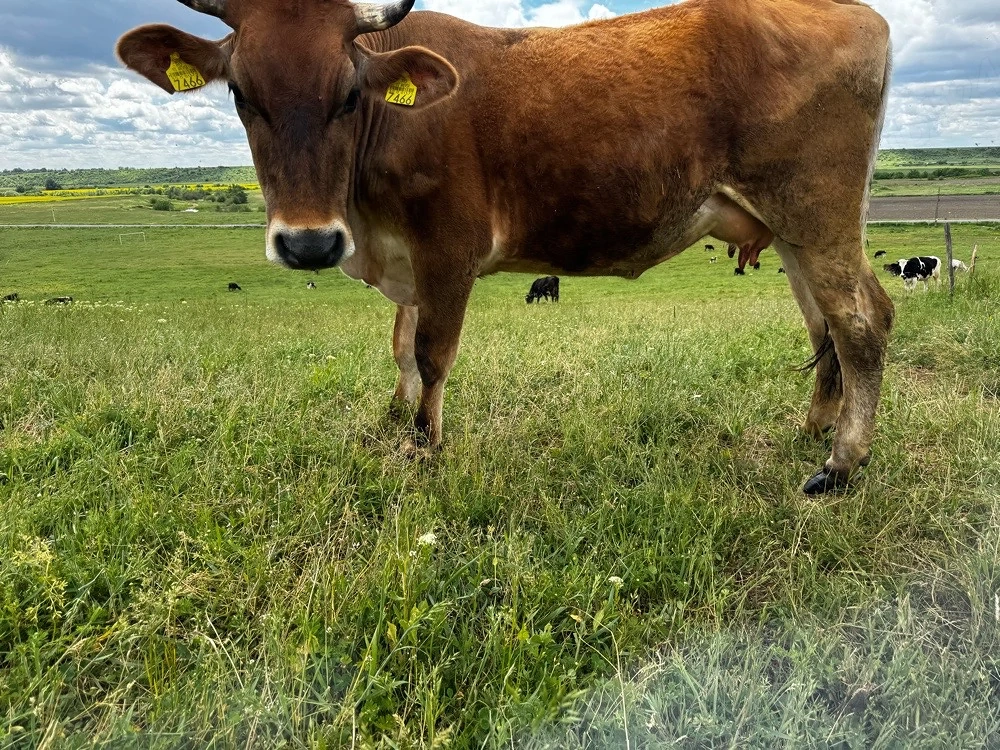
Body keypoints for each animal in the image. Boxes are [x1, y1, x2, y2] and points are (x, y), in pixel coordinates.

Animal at [116, 0, 894, 494]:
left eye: (348, 94)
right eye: (242, 95)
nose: (308, 243)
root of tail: (856, 12)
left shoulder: (447, 248)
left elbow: (431, 351)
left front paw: (424, 447)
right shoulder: (408, 260)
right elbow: (400, 347)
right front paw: (394, 419)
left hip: (817, 212)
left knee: (861, 321)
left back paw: (841, 463)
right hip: (790, 228)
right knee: (823, 327)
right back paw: (816, 426)